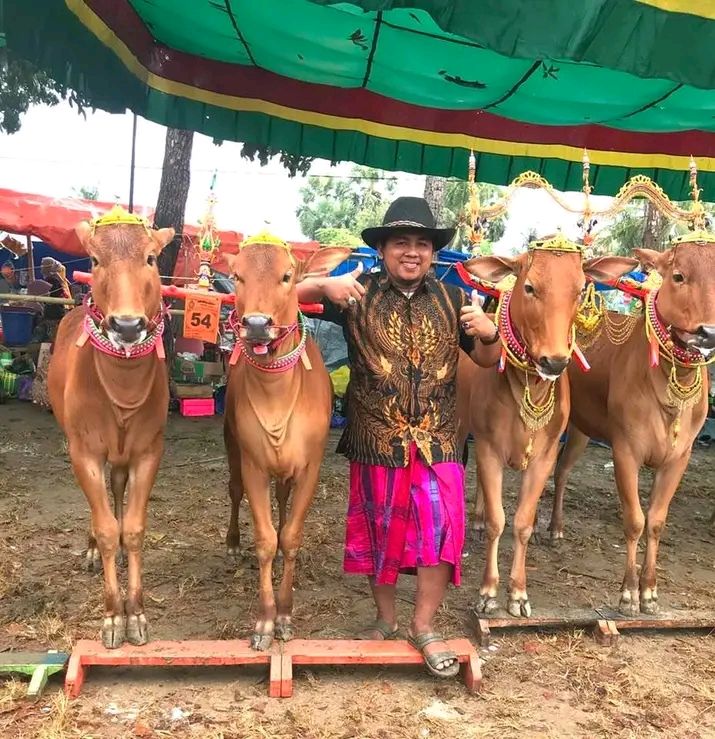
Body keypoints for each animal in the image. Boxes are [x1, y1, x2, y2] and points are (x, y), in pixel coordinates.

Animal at [47, 214, 173, 648]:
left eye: (151, 257)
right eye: (95, 259)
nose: (128, 324)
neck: (123, 383)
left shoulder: (148, 450)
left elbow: (132, 529)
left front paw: (135, 613)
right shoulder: (83, 450)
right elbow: (104, 528)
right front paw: (112, 617)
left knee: (116, 487)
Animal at [221, 234, 350, 652]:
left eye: (287, 275)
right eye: (237, 276)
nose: (257, 325)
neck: (276, 392)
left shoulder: (310, 466)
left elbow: (290, 537)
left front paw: (285, 615)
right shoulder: (254, 464)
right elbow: (263, 538)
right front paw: (265, 621)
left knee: (282, 500)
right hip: (231, 443)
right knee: (234, 491)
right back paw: (232, 543)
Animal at [458, 240, 636, 616]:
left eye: (581, 289)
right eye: (529, 287)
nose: (554, 361)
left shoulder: (545, 454)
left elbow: (523, 523)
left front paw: (518, 594)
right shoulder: (488, 448)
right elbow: (497, 520)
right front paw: (488, 592)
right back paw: (476, 520)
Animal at [552, 234, 715, 616]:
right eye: (678, 276)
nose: (708, 332)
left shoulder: (679, 457)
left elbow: (655, 521)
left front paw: (650, 593)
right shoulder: (626, 450)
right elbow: (635, 519)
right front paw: (627, 593)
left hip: (581, 429)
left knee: (562, 469)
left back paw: (555, 528)